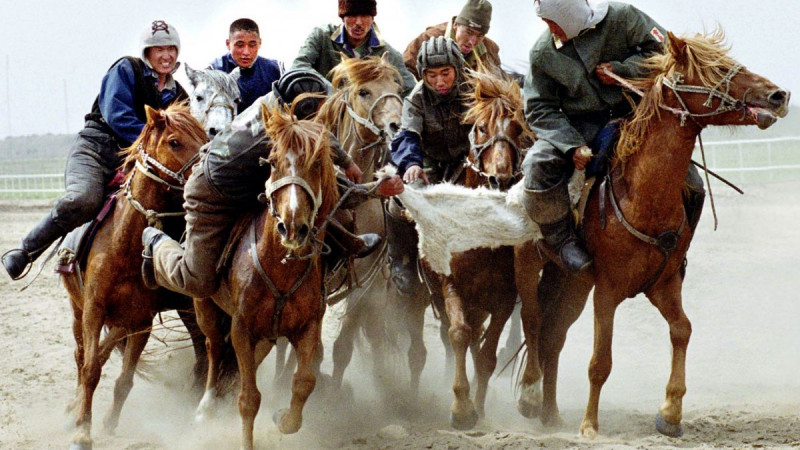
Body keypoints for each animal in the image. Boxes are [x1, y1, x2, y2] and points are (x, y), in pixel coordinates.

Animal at [61, 103, 208, 450]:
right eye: (174, 141)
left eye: (205, 136)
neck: (123, 246)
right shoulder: (93, 310)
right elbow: (90, 368)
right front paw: (82, 431)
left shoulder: (141, 321)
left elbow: (124, 379)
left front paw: (109, 421)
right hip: (77, 309)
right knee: (81, 354)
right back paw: (74, 405)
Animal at [195, 104, 342, 446]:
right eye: (272, 162)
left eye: (317, 163)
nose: (292, 226)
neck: (281, 268)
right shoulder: (241, 328)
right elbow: (249, 400)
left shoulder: (308, 326)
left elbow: (304, 381)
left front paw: (284, 419)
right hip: (204, 305)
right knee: (213, 346)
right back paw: (206, 405)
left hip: (267, 335)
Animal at [576, 29, 788, 438]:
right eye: (718, 69)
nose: (779, 95)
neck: (643, 197)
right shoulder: (605, 290)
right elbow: (599, 361)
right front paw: (589, 425)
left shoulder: (665, 282)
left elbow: (682, 330)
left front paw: (671, 412)